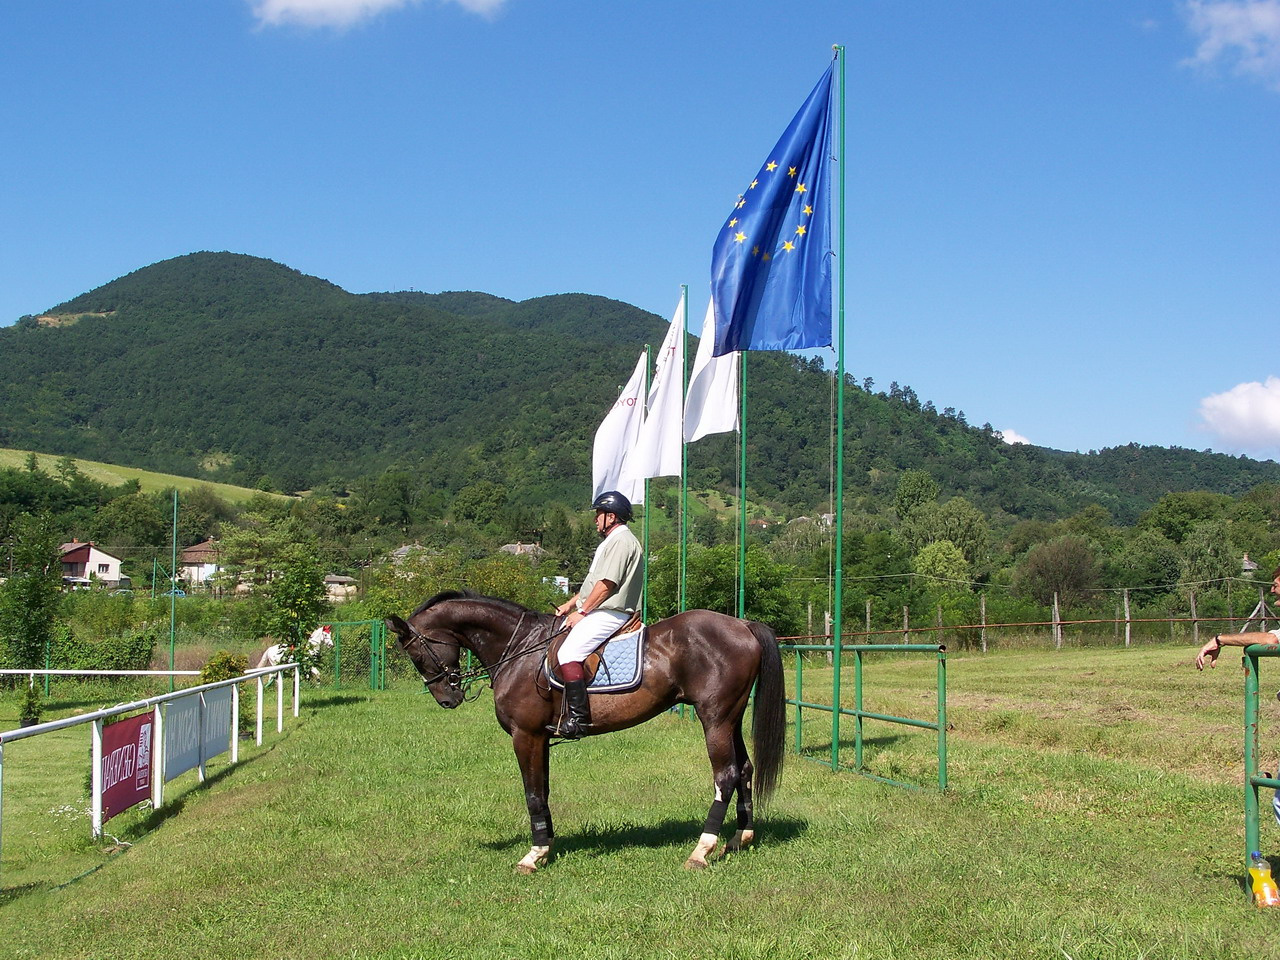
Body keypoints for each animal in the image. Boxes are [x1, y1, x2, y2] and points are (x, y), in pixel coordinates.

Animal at [378, 591, 783, 875]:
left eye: (416, 654)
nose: (448, 699)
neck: (519, 649)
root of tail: (743, 625)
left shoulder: (525, 736)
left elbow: (532, 793)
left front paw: (533, 855)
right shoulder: (539, 738)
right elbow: (543, 790)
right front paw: (547, 845)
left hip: (714, 719)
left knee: (724, 775)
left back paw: (702, 851)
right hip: (730, 718)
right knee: (744, 769)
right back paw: (740, 838)